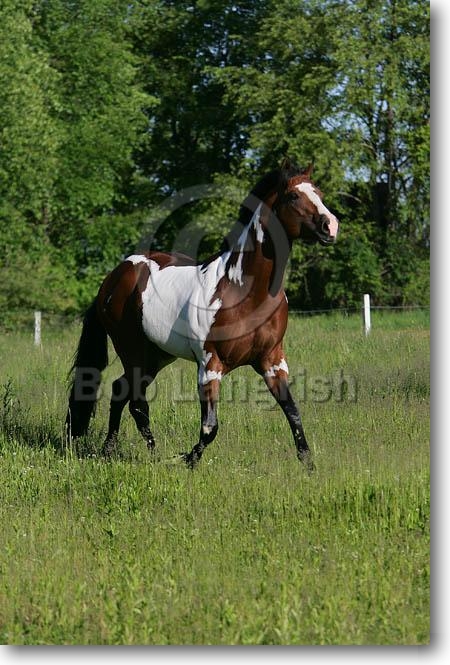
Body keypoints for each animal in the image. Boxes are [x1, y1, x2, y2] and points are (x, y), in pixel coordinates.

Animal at [66, 159, 339, 470]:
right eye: (293, 196)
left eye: (319, 192)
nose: (331, 225)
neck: (243, 290)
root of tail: (113, 278)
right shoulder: (210, 365)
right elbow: (210, 427)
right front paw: (186, 460)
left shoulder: (272, 360)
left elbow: (292, 410)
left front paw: (309, 465)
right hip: (132, 351)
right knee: (135, 401)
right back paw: (152, 455)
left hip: (156, 356)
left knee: (119, 392)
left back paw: (111, 450)